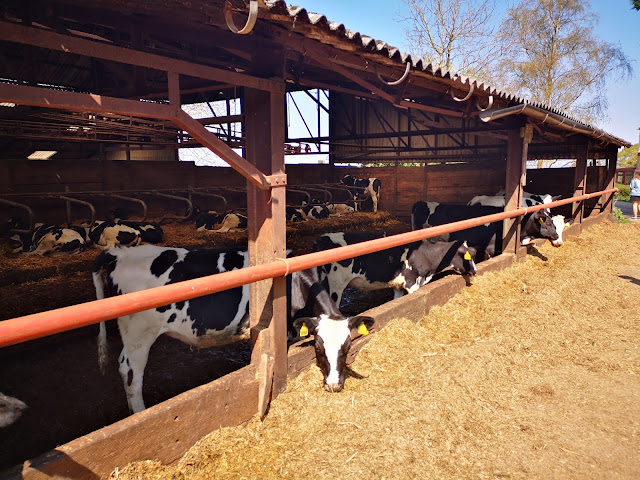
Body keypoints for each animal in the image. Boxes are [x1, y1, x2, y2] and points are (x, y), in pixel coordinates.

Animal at [312, 232, 478, 308]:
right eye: (467, 257)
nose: (475, 271)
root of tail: (322, 238)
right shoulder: (412, 284)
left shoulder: (398, 285)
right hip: (336, 285)